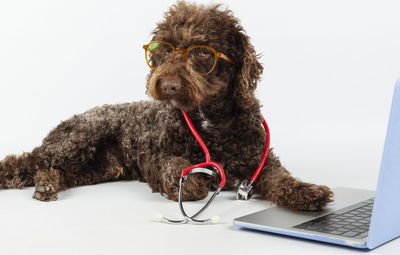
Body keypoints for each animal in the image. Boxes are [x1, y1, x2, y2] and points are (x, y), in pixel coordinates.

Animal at [0, 0, 332, 210]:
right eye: (165, 48)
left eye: (202, 51)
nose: (168, 84)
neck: (212, 121)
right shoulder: (157, 157)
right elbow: (176, 166)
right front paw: (195, 183)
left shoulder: (260, 160)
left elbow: (281, 177)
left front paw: (306, 191)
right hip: (79, 141)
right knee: (31, 161)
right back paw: (35, 182)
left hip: (98, 168)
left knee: (49, 169)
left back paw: (47, 184)